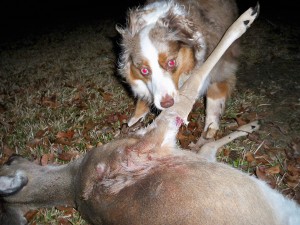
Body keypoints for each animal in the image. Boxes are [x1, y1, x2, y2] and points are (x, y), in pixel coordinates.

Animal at [116, 0, 239, 139]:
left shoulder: (220, 64)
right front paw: (131, 124)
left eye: (171, 62)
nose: (167, 104)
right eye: (144, 71)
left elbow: (215, 95)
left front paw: (211, 126)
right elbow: (142, 101)